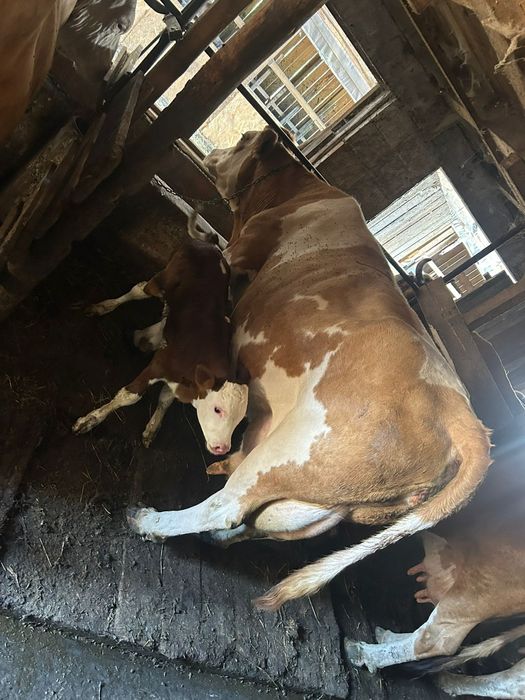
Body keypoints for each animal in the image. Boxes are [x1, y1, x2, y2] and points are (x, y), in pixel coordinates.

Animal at [73, 227, 248, 453]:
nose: (223, 448)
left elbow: (165, 399)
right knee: (139, 289)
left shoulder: (177, 382)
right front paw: (90, 420)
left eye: (240, 419)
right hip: (162, 278)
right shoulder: (159, 365)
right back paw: (103, 307)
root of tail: (210, 245)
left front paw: (152, 429)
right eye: (218, 409)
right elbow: (129, 396)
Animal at [127, 127, 491, 611]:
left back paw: (147, 520)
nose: (214, 152)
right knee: (257, 525)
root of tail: (466, 421)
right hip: (325, 504)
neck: (295, 194)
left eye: (242, 139)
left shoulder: (237, 252)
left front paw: (146, 334)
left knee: (226, 506)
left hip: (290, 454)